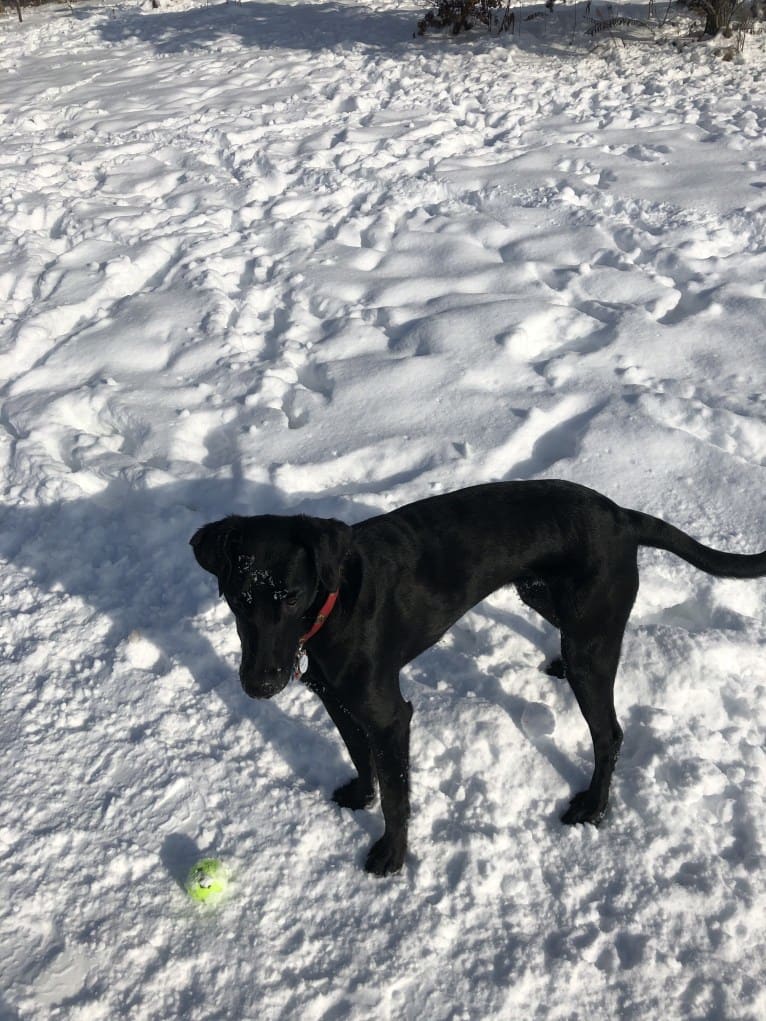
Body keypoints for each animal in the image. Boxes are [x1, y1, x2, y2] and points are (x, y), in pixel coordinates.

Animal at [190, 481, 766, 873]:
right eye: (239, 596)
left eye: (290, 595)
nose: (260, 685)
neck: (334, 602)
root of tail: (622, 516)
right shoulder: (336, 699)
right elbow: (359, 757)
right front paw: (360, 796)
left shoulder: (389, 716)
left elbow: (398, 796)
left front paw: (392, 855)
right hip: (545, 596)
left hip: (590, 640)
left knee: (611, 733)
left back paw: (594, 806)